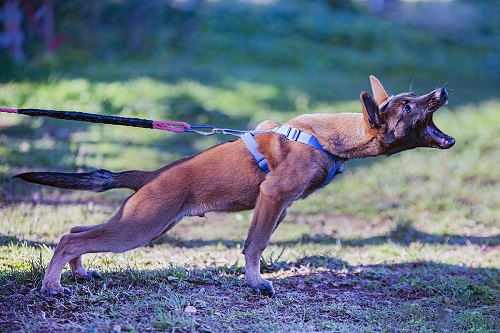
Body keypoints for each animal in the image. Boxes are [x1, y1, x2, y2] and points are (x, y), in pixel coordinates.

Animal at [15, 76, 454, 294]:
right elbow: (255, 245)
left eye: (414, 96)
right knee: (70, 238)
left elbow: (255, 242)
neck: (328, 138)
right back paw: (52, 285)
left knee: (76, 231)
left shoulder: (279, 207)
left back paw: (76, 275)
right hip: (140, 228)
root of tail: (153, 175)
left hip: (139, 222)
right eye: (408, 106)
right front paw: (256, 283)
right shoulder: (273, 197)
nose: (443, 91)